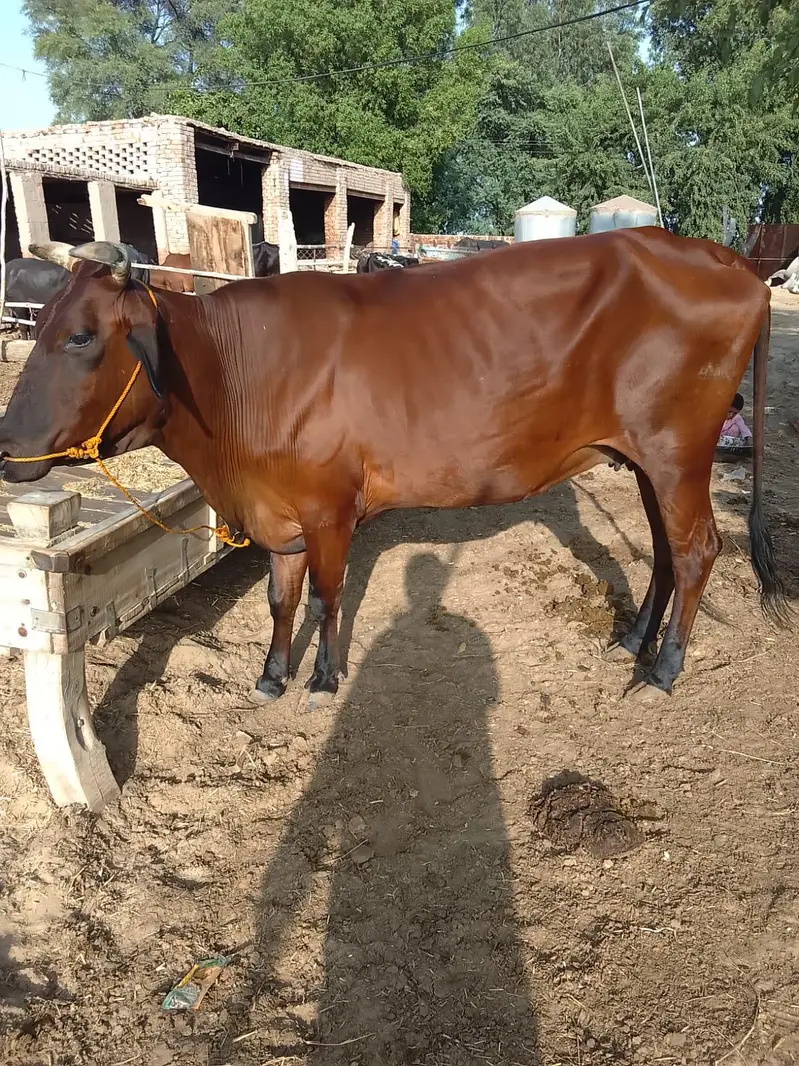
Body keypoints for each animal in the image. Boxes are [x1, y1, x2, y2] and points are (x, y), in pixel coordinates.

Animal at [0, 231, 789, 707]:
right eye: (40, 323)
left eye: (81, 337)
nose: (6, 445)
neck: (232, 378)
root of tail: (732, 263)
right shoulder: (277, 509)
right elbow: (280, 598)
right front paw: (271, 675)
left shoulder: (328, 507)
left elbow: (325, 597)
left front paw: (323, 679)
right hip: (644, 460)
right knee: (662, 549)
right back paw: (633, 640)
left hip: (677, 452)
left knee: (696, 549)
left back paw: (662, 670)